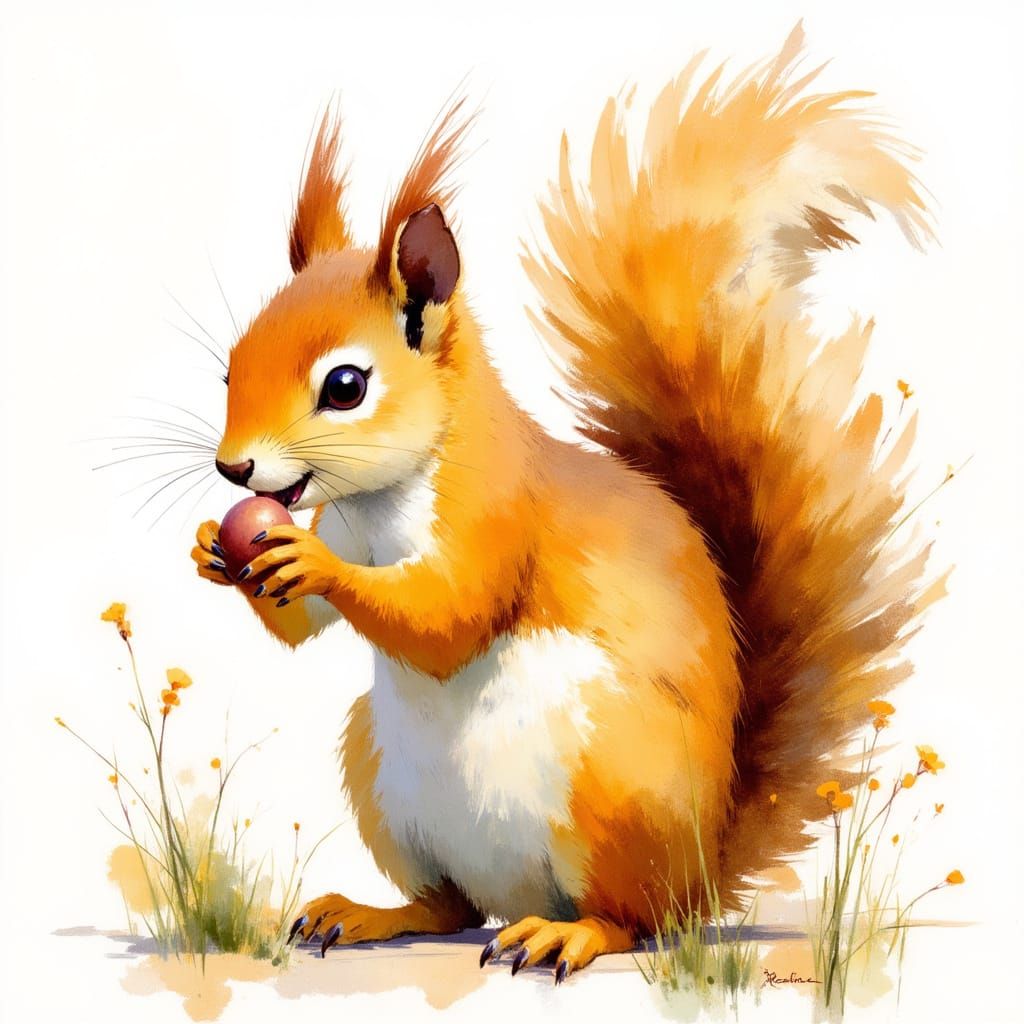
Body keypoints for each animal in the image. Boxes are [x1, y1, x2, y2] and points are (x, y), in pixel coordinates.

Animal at [191, 24, 940, 981]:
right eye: (229, 369)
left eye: (346, 386)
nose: (233, 469)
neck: (379, 503)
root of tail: (703, 871)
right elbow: (304, 630)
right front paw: (216, 550)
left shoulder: (499, 512)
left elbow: (450, 615)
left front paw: (303, 559)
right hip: (378, 769)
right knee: (447, 905)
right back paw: (365, 913)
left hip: (610, 779)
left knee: (630, 919)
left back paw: (567, 934)